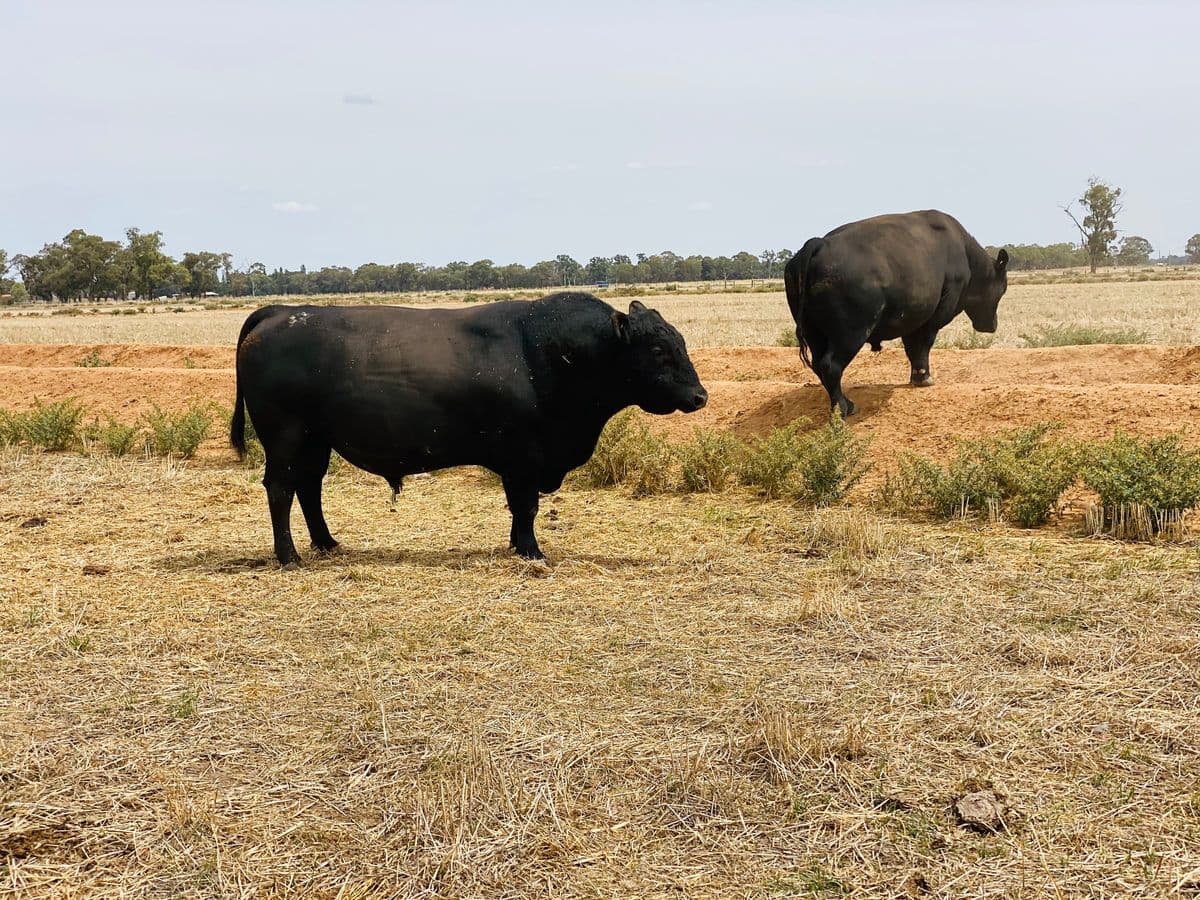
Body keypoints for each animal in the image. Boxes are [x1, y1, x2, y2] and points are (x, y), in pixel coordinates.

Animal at [230, 292, 708, 566]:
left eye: (679, 341)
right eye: (659, 348)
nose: (700, 396)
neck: (552, 353)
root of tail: (281, 312)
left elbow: (519, 510)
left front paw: (519, 547)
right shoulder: (525, 458)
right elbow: (526, 508)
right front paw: (532, 552)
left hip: (316, 440)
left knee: (309, 488)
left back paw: (327, 543)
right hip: (286, 437)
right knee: (281, 489)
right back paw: (288, 556)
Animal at [784, 210, 1009, 417]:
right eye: (1003, 288)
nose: (993, 324)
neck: (965, 253)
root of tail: (819, 243)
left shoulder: (911, 319)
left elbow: (911, 347)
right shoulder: (934, 317)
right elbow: (923, 345)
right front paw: (924, 377)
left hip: (815, 334)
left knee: (818, 365)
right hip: (851, 333)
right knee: (831, 366)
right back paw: (843, 408)